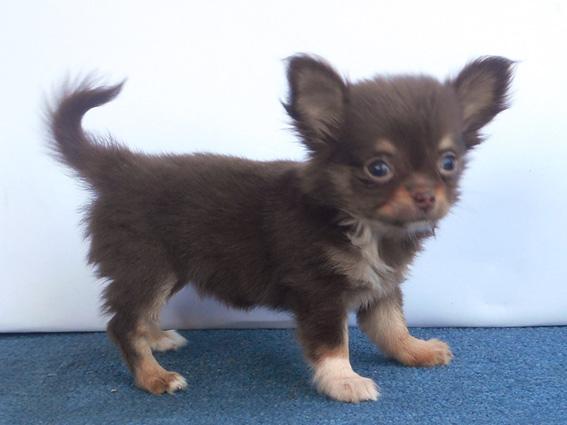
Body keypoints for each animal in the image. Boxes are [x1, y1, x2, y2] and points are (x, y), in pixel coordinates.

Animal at [47, 54, 513, 403]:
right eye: (378, 168)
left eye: (448, 162)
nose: (425, 197)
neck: (362, 225)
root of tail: (123, 168)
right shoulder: (319, 292)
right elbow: (332, 343)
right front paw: (343, 381)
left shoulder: (382, 283)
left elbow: (391, 325)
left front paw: (415, 350)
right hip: (147, 267)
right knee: (120, 324)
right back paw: (152, 376)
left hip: (166, 270)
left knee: (138, 314)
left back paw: (157, 339)